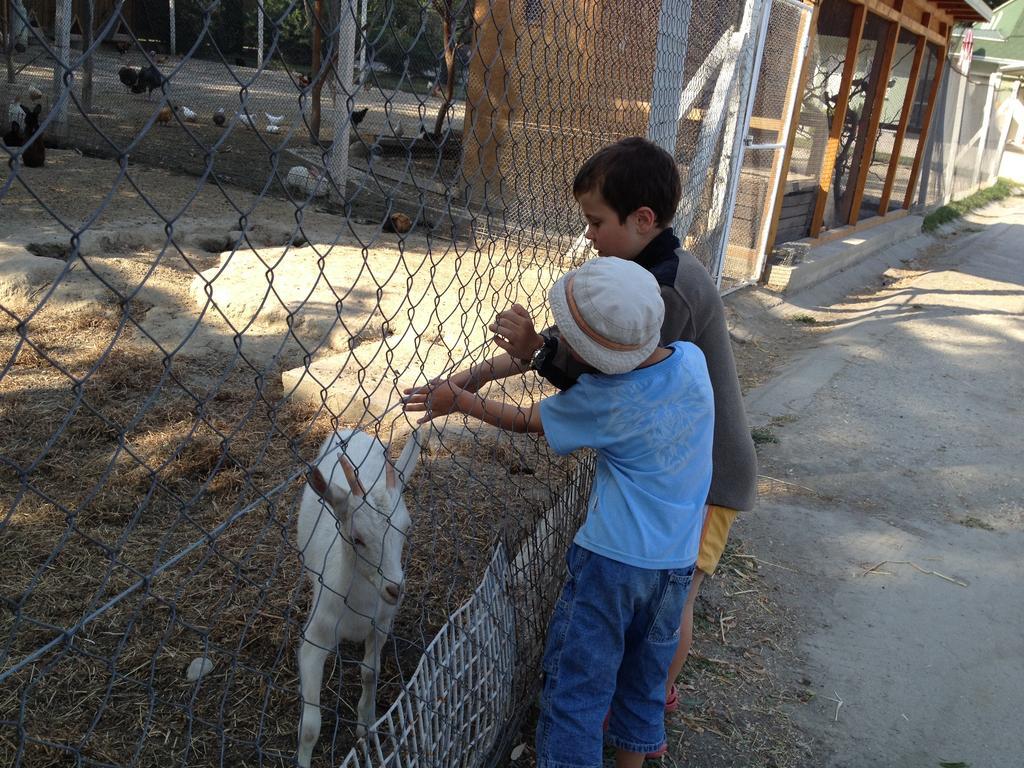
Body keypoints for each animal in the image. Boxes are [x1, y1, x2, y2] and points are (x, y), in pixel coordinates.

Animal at [296, 430, 423, 765]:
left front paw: (365, 727)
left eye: (406, 527)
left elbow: (370, 672)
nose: (395, 589)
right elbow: (310, 727)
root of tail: (350, 431)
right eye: (357, 538)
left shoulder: (380, 623)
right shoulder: (315, 636)